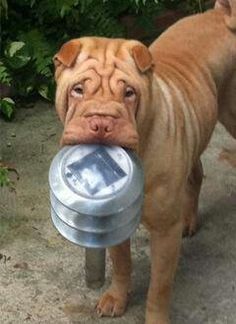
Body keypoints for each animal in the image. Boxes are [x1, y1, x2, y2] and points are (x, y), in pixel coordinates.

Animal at [53, 1, 236, 322]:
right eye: (78, 90)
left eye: (129, 93)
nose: (101, 122)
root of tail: (221, 16)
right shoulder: (112, 221)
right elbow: (121, 263)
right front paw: (116, 297)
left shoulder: (165, 232)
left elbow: (159, 288)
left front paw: (155, 317)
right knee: (195, 173)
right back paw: (190, 220)